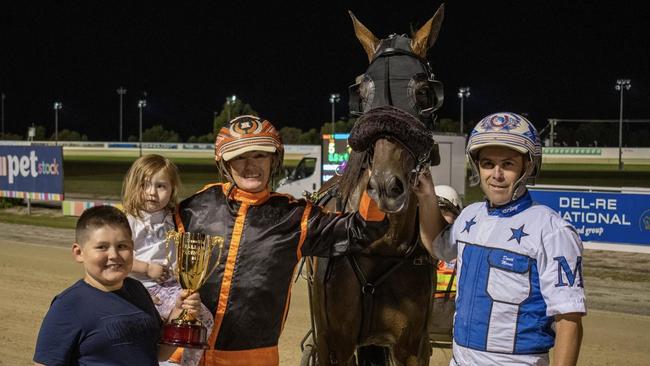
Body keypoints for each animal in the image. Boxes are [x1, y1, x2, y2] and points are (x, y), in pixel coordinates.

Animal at [302, 6, 442, 366]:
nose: (385, 187)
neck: (380, 246)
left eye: (423, 92)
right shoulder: (334, 345)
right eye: (361, 94)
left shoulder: (411, 347)